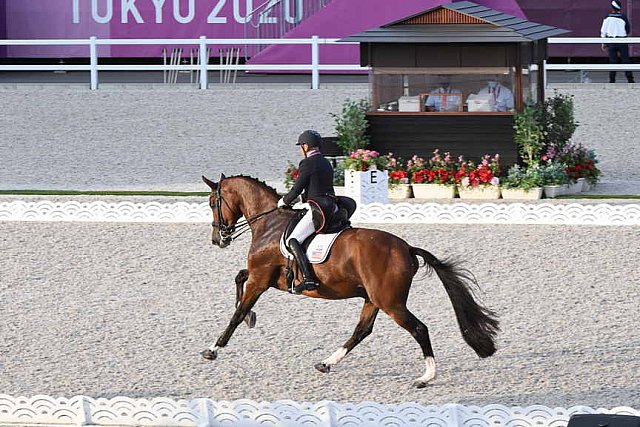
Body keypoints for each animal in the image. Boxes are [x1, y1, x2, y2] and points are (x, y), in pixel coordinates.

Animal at [200, 174, 500, 388]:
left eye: (214, 203)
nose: (218, 239)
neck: (270, 223)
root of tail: (407, 249)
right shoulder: (267, 278)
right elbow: (238, 279)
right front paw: (251, 318)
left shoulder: (261, 279)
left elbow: (237, 313)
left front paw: (213, 349)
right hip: (372, 298)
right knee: (362, 331)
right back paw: (326, 363)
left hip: (390, 302)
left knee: (419, 329)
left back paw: (425, 378)